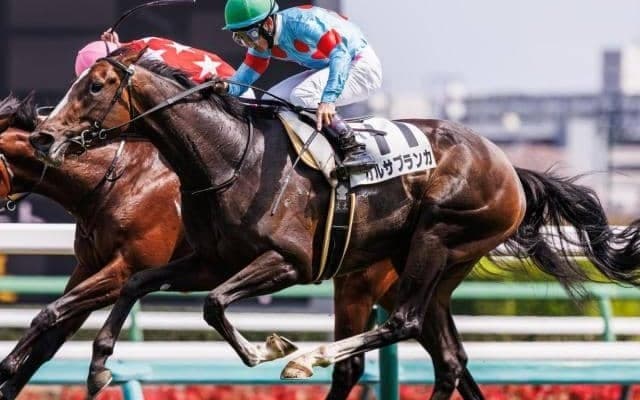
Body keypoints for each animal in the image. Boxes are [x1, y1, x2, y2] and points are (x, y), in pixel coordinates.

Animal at [30, 48, 640, 400]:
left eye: (95, 86)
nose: (42, 134)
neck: (230, 157)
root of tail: (510, 167)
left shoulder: (289, 262)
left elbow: (214, 306)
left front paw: (269, 349)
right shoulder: (207, 260)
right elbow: (137, 283)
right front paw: (99, 366)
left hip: (438, 238)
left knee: (403, 323)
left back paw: (310, 358)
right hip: (436, 266)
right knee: (446, 357)